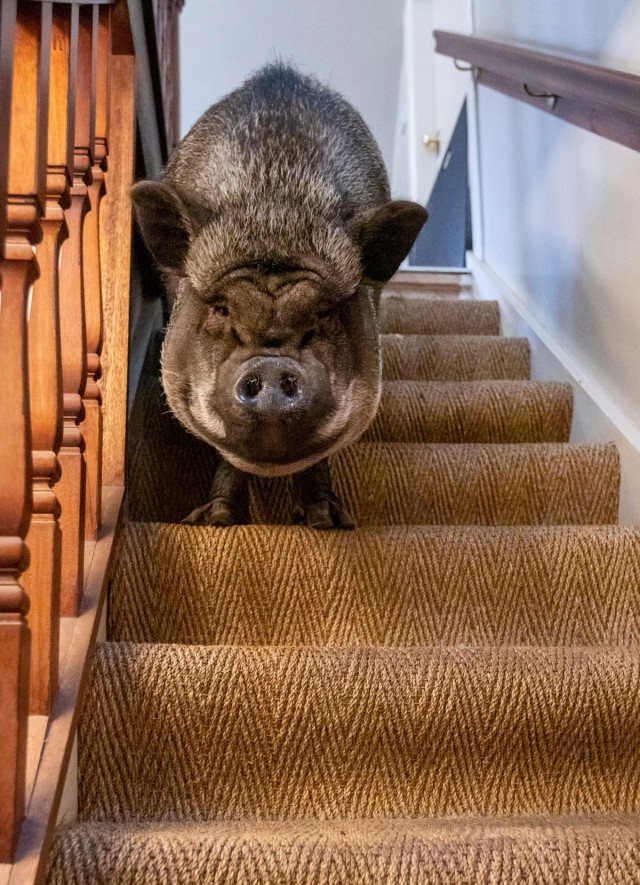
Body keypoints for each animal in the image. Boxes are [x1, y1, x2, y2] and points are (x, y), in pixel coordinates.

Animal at [131, 63, 427, 528]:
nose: (270, 366)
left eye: (324, 311)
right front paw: (214, 522)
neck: (275, 220)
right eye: (221, 308)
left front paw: (328, 523)